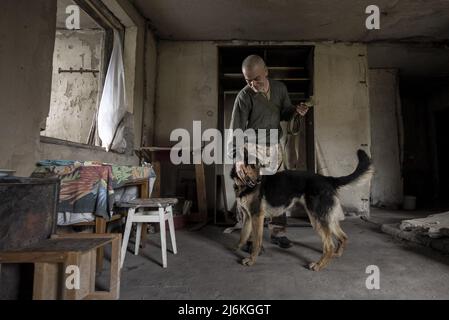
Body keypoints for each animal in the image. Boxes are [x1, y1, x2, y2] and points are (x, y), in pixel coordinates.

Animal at [229, 149, 372, 270]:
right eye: (252, 165)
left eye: (259, 166)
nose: (259, 180)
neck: (243, 185)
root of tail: (327, 179)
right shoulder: (248, 217)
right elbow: (243, 235)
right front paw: (236, 248)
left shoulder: (256, 216)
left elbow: (256, 242)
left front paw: (251, 260)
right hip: (326, 218)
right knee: (343, 237)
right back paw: (336, 255)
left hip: (316, 219)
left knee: (329, 245)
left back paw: (319, 265)